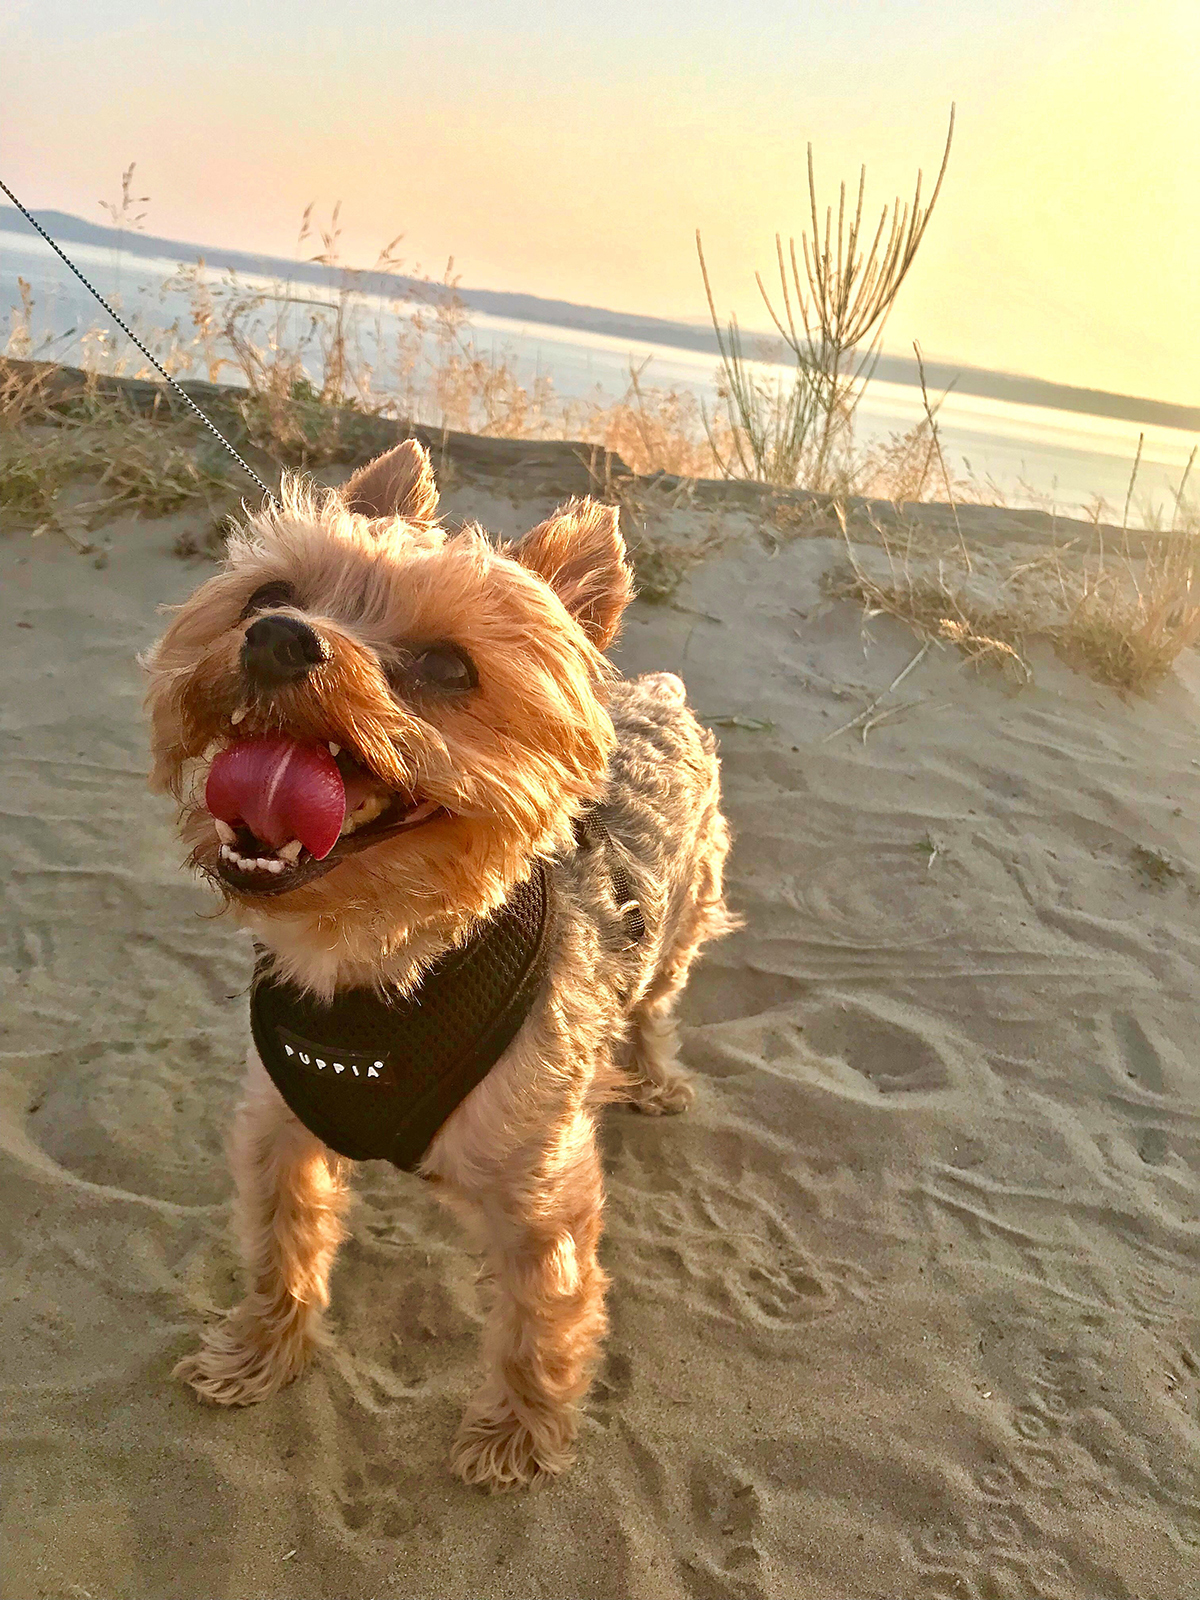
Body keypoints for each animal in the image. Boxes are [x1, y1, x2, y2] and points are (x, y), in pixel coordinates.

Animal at [145, 441, 739, 1484]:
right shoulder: (277, 1128)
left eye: (448, 666)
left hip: (685, 911)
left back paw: (654, 1077)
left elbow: (544, 1313)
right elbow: (279, 1246)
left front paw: (517, 1433)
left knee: (659, 1002)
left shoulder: (540, 1187)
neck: (379, 962)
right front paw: (260, 1351)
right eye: (269, 594)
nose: (277, 638)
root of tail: (650, 689)